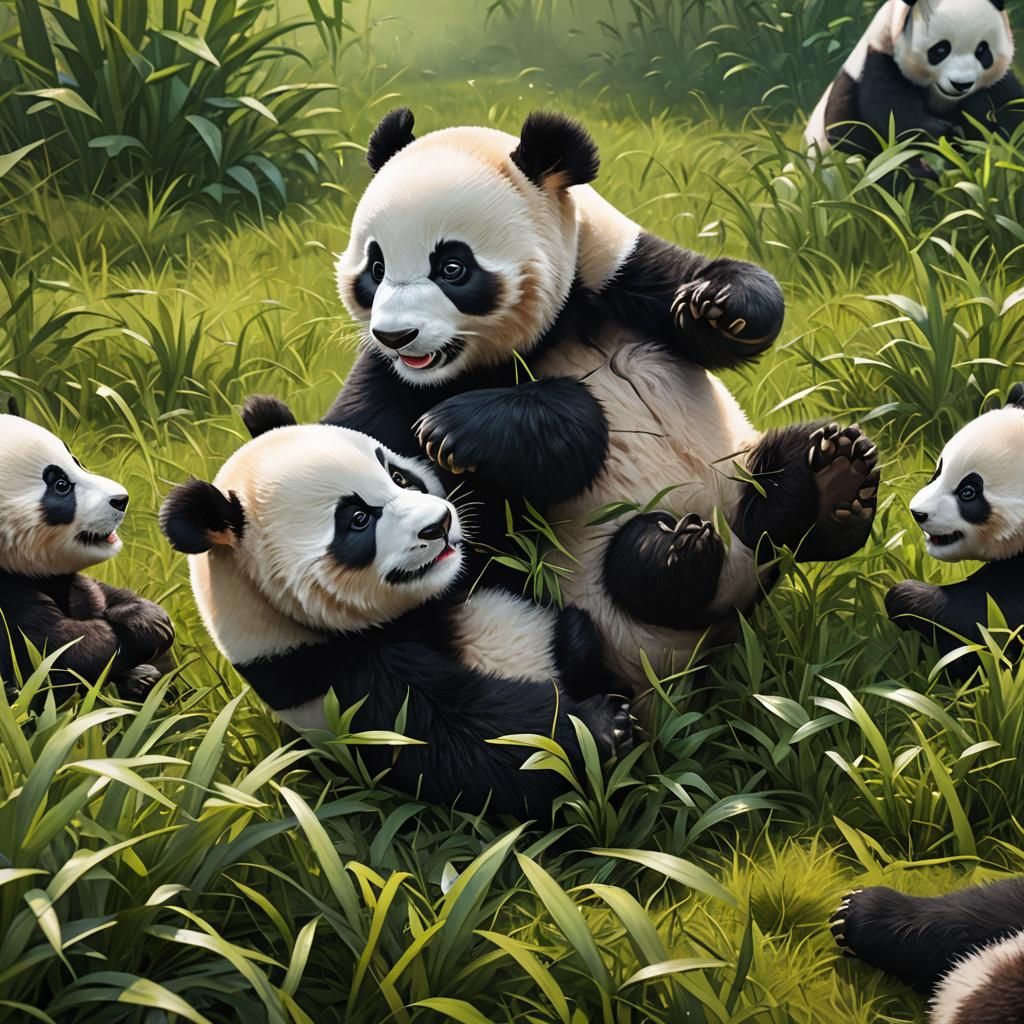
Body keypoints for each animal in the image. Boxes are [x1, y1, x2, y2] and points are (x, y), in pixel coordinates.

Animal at [0, 405, 174, 701]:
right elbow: (70, 651)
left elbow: (102, 593)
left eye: (77, 461)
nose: (122, 499)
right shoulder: (9, 606)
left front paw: (146, 618)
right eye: (61, 485)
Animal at [159, 395, 633, 817]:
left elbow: (518, 503)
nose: (439, 524)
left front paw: (468, 432)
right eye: (357, 520)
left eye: (400, 477)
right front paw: (600, 725)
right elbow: (461, 741)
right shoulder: (340, 687)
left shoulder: (479, 559)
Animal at [324, 108, 881, 689]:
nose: (396, 336)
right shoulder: (395, 384)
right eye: (376, 269)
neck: (553, 330)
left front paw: (716, 306)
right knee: (637, 572)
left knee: (783, 480)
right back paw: (674, 554)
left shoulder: (610, 266)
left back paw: (835, 484)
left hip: (738, 472)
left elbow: (717, 289)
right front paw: (455, 431)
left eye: (452, 267)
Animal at [805, 0, 1024, 178]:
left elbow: (1011, 107)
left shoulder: (999, 83)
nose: (961, 84)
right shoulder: (879, 61)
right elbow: (889, 118)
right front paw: (948, 137)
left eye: (982, 51)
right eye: (941, 49)